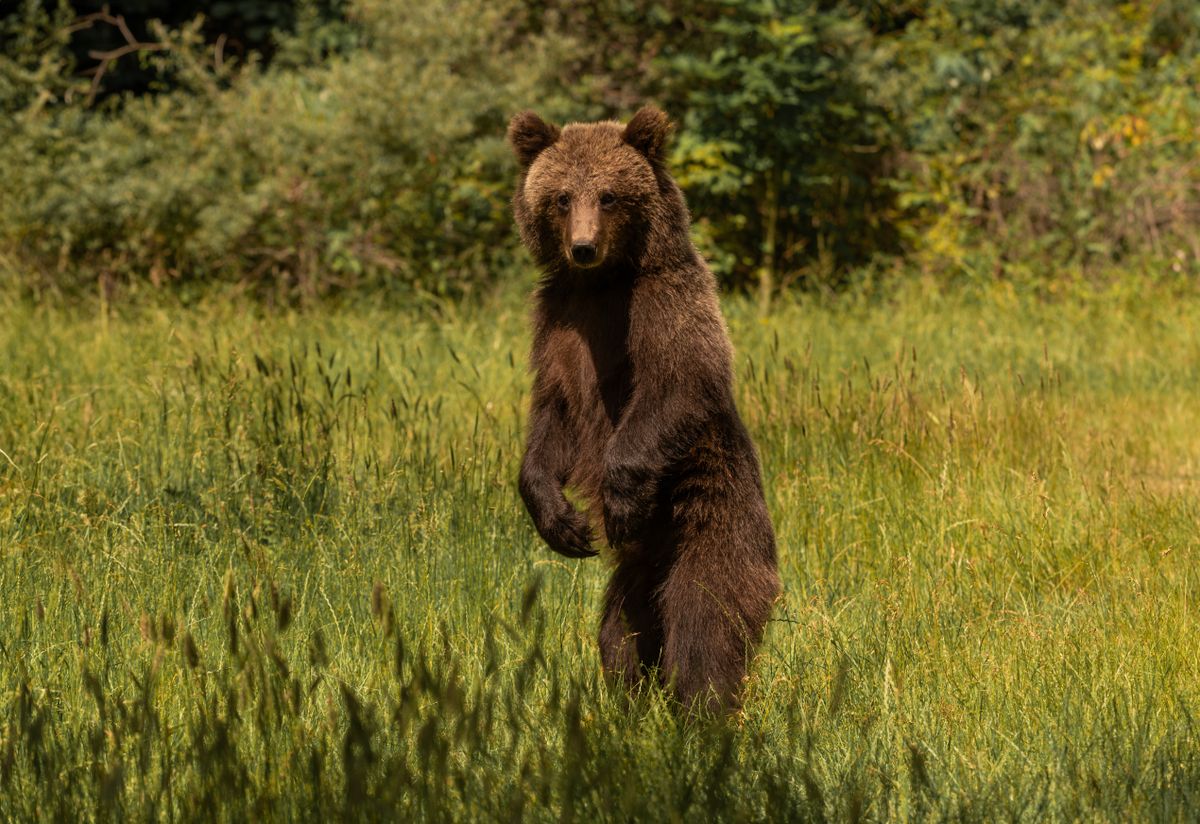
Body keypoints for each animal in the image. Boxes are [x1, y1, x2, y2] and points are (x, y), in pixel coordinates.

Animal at [506, 104, 777, 714]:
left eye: (609, 196)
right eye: (562, 197)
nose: (583, 247)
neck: (604, 283)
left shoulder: (663, 303)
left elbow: (678, 381)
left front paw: (619, 499)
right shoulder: (557, 325)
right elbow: (551, 414)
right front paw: (562, 522)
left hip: (713, 520)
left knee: (706, 623)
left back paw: (701, 710)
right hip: (635, 577)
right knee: (621, 634)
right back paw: (627, 704)